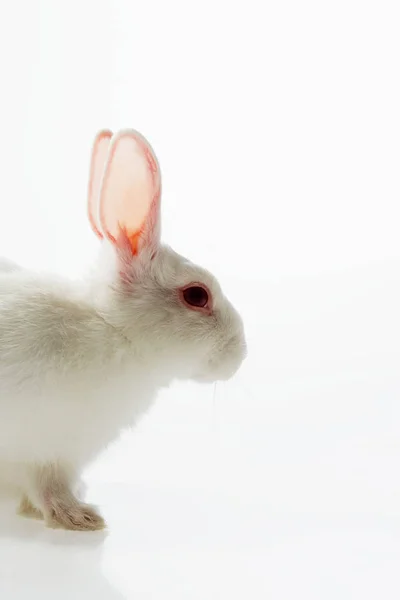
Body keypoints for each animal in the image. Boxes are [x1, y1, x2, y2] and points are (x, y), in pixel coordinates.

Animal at [0, 127, 245, 528]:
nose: (240, 354)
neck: (113, 330)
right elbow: (48, 487)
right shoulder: (43, 450)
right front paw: (80, 518)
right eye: (197, 295)